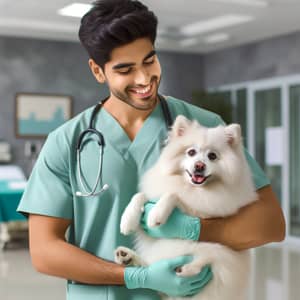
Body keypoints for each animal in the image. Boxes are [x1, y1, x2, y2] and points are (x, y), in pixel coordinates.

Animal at [115, 115, 258, 300]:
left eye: (212, 156)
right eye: (191, 152)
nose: (199, 166)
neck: (190, 187)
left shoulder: (203, 212)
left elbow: (174, 195)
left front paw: (156, 214)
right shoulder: (153, 199)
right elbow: (140, 196)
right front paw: (128, 220)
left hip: (217, 257)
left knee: (206, 259)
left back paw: (185, 270)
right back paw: (128, 258)